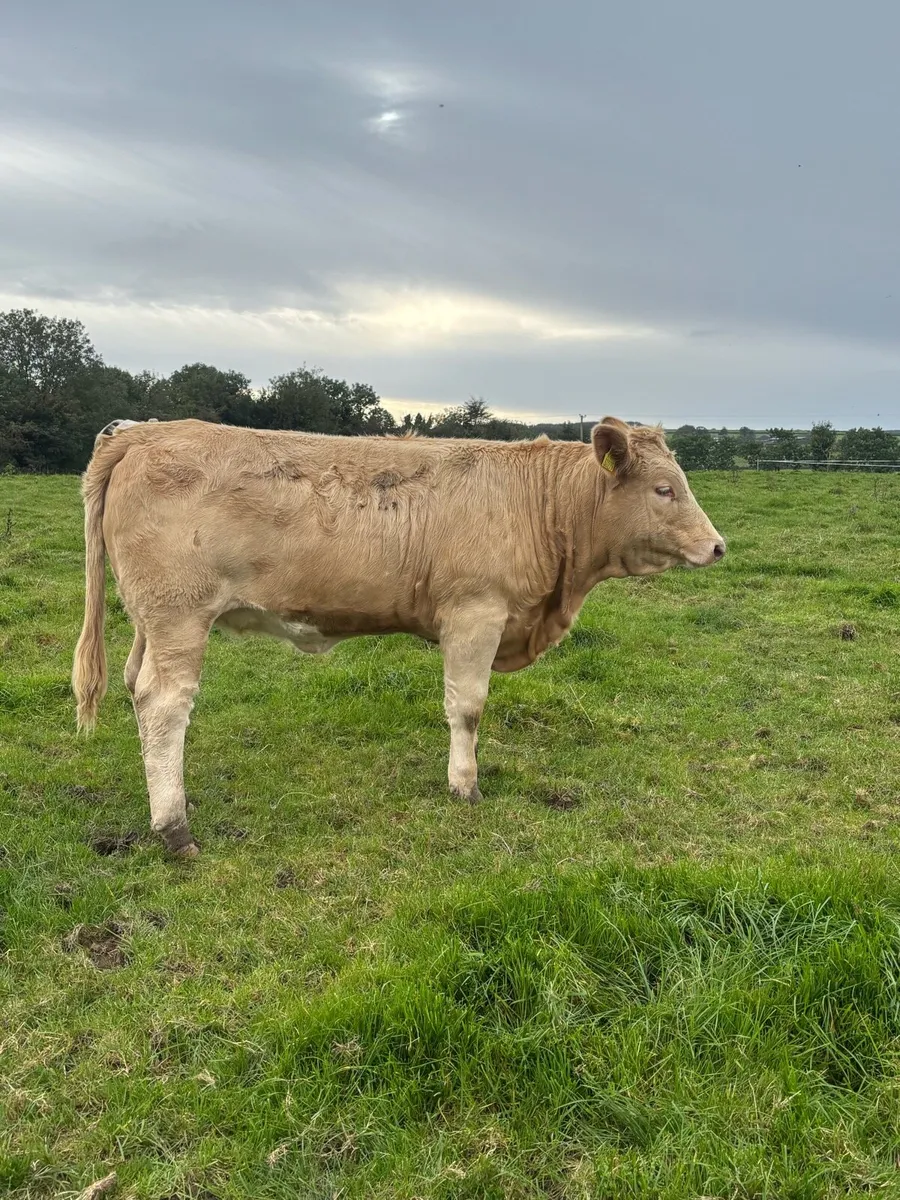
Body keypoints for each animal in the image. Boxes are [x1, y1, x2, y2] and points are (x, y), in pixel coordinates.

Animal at [72, 416, 725, 857]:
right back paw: (174, 827)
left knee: (134, 685)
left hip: (150, 621)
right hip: (179, 616)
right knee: (164, 704)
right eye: (665, 489)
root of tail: (142, 431)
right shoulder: (475, 613)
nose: (718, 546)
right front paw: (465, 786)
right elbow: (467, 707)